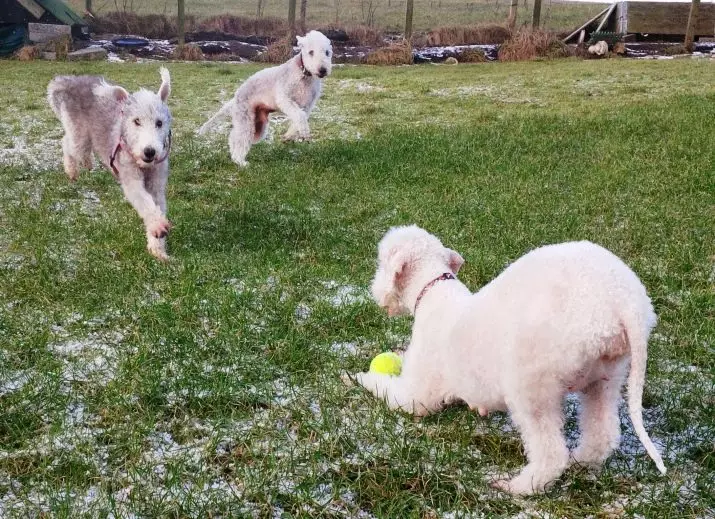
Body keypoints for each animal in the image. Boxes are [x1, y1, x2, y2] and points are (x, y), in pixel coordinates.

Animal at [47, 69, 173, 262]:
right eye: (136, 121)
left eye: (159, 123)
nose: (149, 152)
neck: (143, 165)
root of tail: (70, 81)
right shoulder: (130, 178)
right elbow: (144, 202)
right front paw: (158, 226)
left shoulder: (157, 183)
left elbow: (157, 205)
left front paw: (158, 249)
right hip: (79, 137)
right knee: (66, 143)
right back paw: (71, 171)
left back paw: (87, 163)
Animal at [194, 30, 332, 167]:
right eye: (311, 52)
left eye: (327, 52)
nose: (323, 70)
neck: (304, 75)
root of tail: (235, 97)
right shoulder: (284, 97)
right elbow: (300, 116)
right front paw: (304, 131)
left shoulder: (307, 105)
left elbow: (299, 118)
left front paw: (289, 135)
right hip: (245, 120)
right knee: (240, 139)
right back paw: (241, 162)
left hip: (258, 126)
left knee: (234, 137)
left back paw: (235, 157)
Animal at [350, 226, 668, 496]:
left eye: (381, 262)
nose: (375, 292)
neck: (433, 291)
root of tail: (625, 303)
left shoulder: (417, 396)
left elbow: (392, 393)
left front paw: (359, 377)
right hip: (606, 374)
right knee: (602, 433)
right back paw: (580, 461)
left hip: (531, 380)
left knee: (551, 453)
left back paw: (518, 486)